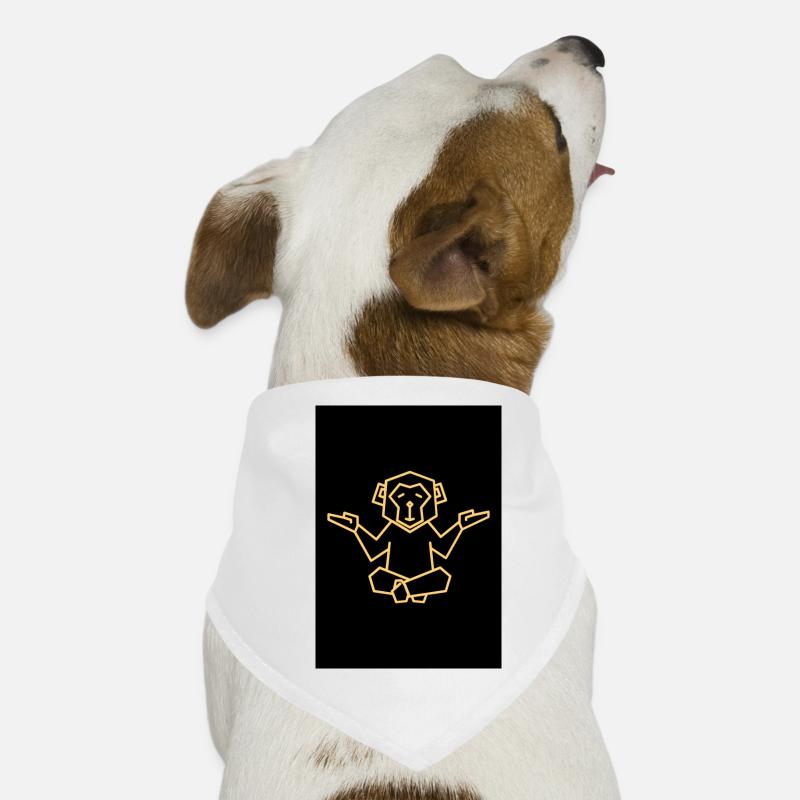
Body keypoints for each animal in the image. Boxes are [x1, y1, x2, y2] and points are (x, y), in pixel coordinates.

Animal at [327, 470, 490, 603]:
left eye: (420, 496)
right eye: (399, 496)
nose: (410, 504)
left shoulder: (427, 528)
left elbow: (442, 549)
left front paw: (465, 520)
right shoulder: (390, 528)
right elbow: (375, 551)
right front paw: (350, 522)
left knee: (439, 576)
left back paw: (405, 591)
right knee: (378, 575)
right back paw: (400, 588)